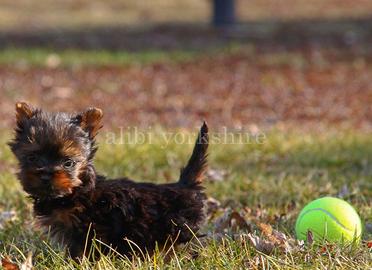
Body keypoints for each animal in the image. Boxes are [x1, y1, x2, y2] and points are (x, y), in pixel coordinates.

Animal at [8, 102, 208, 260]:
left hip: (179, 230)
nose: (45, 174)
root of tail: (185, 185)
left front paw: (78, 263)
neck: (76, 191)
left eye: (68, 163)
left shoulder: (90, 229)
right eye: (32, 158)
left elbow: (83, 251)